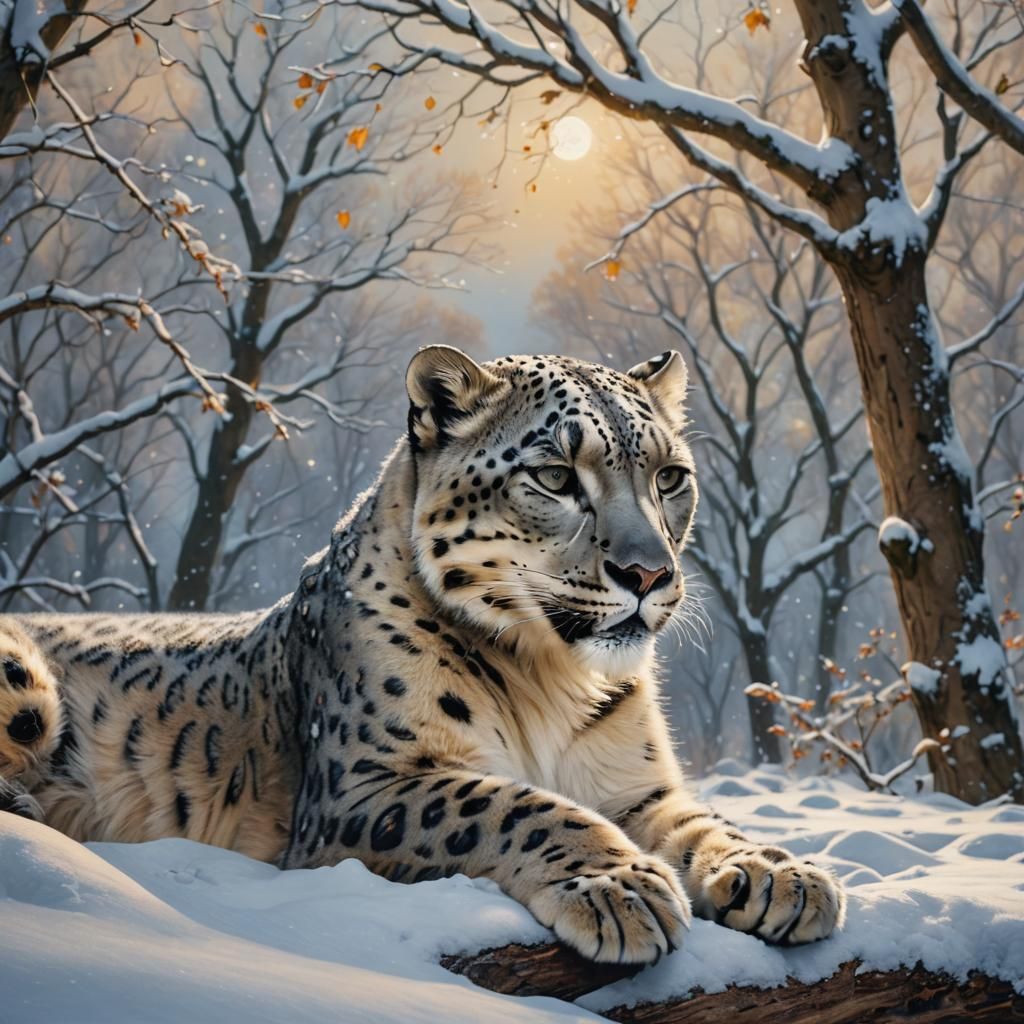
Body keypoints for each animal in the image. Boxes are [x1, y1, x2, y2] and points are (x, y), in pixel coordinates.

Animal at [0, 346, 844, 963]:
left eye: (670, 477)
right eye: (555, 475)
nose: (649, 574)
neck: (553, 676)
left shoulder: (637, 788)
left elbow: (703, 820)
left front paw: (782, 874)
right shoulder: (365, 788)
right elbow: (508, 803)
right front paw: (620, 885)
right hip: (26, 685)